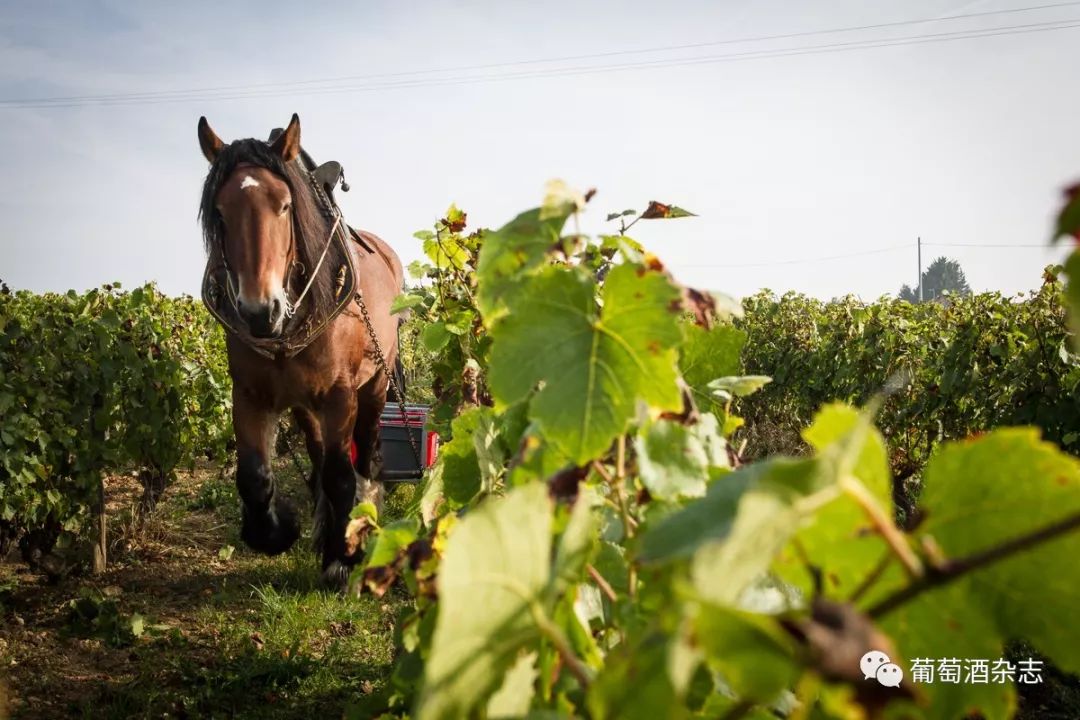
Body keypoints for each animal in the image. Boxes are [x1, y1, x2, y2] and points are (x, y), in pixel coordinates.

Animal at [196, 113, 403, 591]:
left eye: (285, 205)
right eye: (219, 212)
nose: (260, 311)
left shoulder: (341, 394)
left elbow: (341, 475)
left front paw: (343, 557)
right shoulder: (249, 393)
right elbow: (254, 476)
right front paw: (279, 530)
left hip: (375, 384)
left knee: (365, 453)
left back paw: (362, 519)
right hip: (306, 404)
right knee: (317, 454)